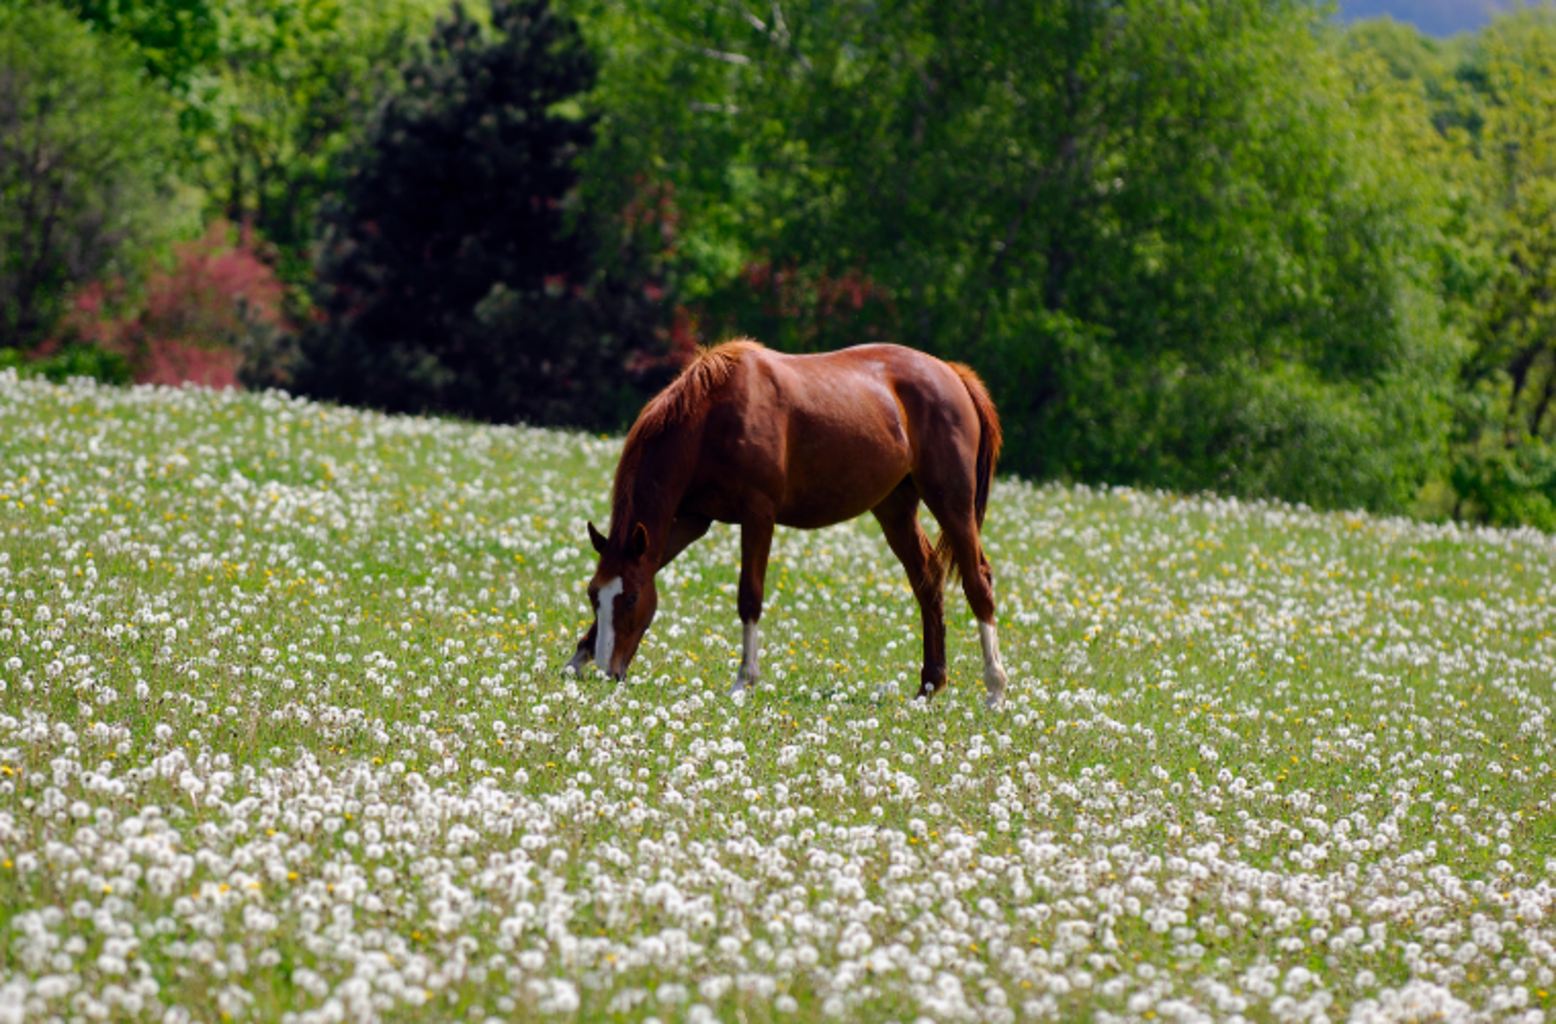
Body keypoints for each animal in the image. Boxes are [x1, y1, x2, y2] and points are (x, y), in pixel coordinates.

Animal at [566, 339, 1014, 706]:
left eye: (631, 599)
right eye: (593, 594)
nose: (609, 673)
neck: (713, 417)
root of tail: (953, 374)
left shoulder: (757, 513)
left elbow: (749, 596)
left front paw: (743, 681)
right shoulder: (693, 519)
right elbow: (653, 563)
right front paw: (578, 658)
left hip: (951, 503)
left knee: (977, 581)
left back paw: (995, 687)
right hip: (895, 508)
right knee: (927, 580)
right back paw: (929, 685)